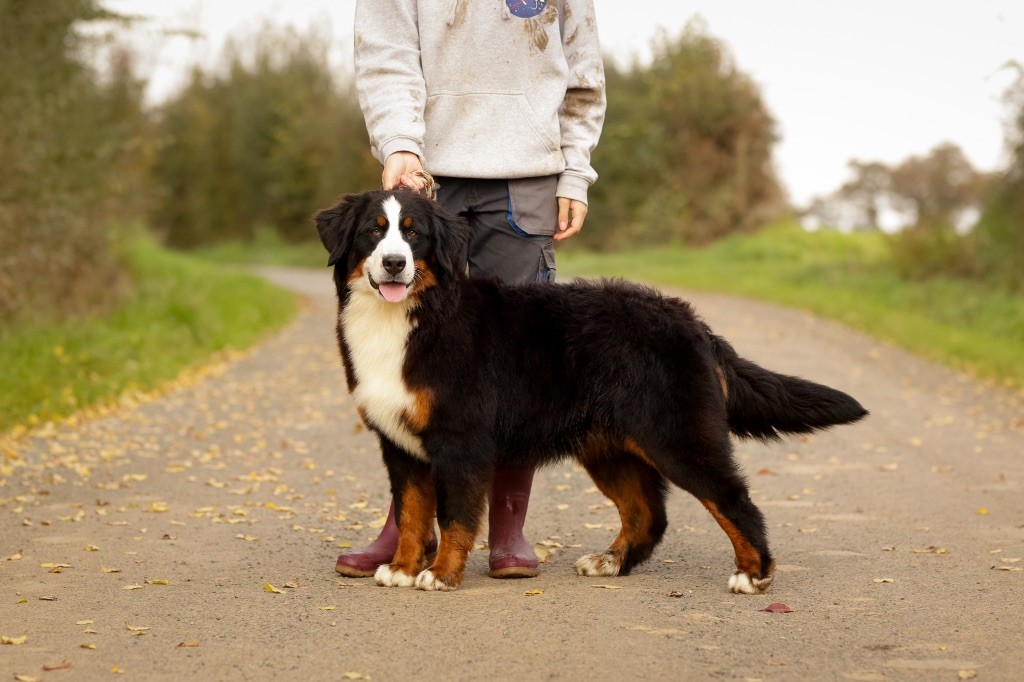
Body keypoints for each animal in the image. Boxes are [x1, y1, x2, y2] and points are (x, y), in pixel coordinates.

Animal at [311, 188, 864, 593]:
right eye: (374, 231)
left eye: (415, 234)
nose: (394, 264)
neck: (413, 319)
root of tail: (693, 324)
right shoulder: (401, 445)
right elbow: (410, 513)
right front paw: (402, 567)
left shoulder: (460, 441)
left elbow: (455, 517)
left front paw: (441, 575)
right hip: (609, 447)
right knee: (649, 514)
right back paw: (610, 562)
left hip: (678, 437)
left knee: (733, 499)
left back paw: (753, 574)